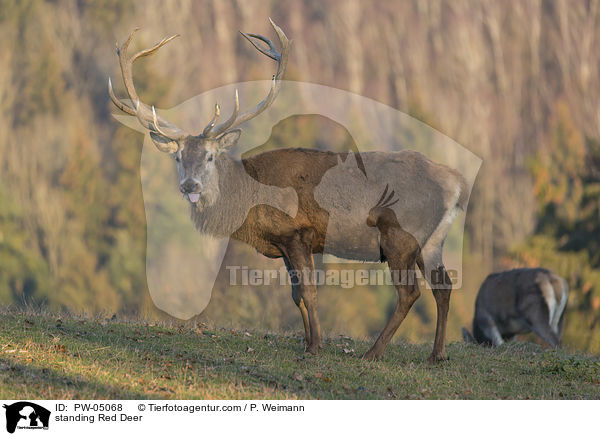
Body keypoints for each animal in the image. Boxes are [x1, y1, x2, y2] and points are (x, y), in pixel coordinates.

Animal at [110, 19, 472, 362]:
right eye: (179, 158)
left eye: (210, 156)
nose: (189, 186)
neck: (250, 198)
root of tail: (456, 184)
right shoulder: (283, 243)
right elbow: (296, 295)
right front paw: (308, 342)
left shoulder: (298, 233)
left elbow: (309, 292)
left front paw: (316, 347)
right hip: (432, 241)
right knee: (444, 286)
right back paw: (436, 355)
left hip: (400, 235)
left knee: (410, 293)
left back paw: (374, 352)